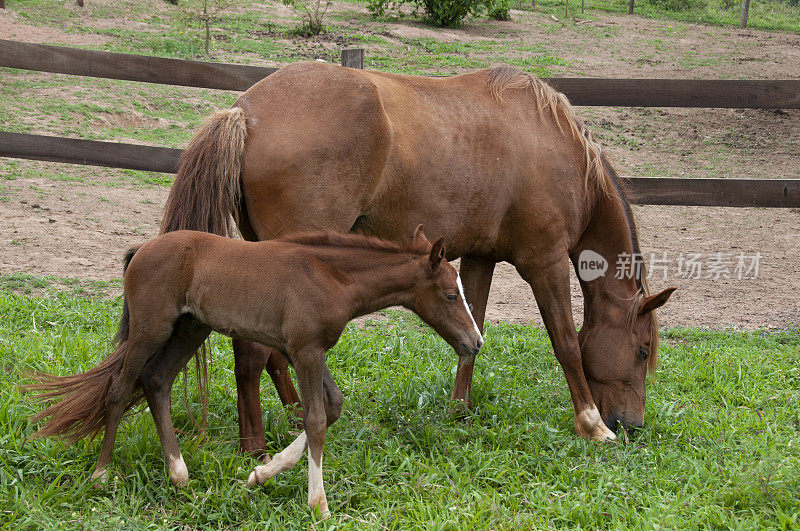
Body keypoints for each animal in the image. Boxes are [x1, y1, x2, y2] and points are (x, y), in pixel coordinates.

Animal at [29, 227, 482, 516]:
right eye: (448, 294)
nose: (476, 342)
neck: (332, 276)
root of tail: (141, 249)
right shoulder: (305, 350)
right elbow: (317, 419)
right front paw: (319, 506)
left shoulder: (306, 350)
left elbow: (331, 408)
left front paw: (261, 473)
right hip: (150, 328)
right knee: (120, 389)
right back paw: (101, 475)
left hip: (191, 328)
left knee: (156, 382)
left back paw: (179, 475)